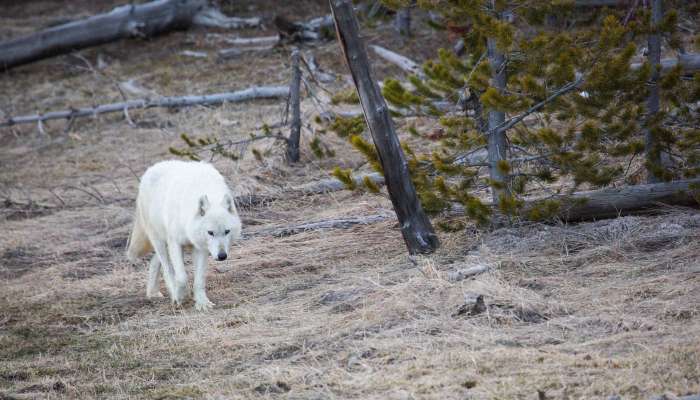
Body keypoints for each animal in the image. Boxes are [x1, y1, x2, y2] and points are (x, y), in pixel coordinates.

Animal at [126, 159, 243, 310]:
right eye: (210, 233)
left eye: (227, 231)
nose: (222, 256)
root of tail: (153, 167)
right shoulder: (176, 243)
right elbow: (182, 277)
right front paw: (180, 297)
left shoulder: (201, 247)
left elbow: (199, 280)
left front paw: (202, 303)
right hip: (160, 241)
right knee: (167, 269)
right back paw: (172, 293)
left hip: (165, 244)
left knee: (154, 262)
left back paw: (153, 293)